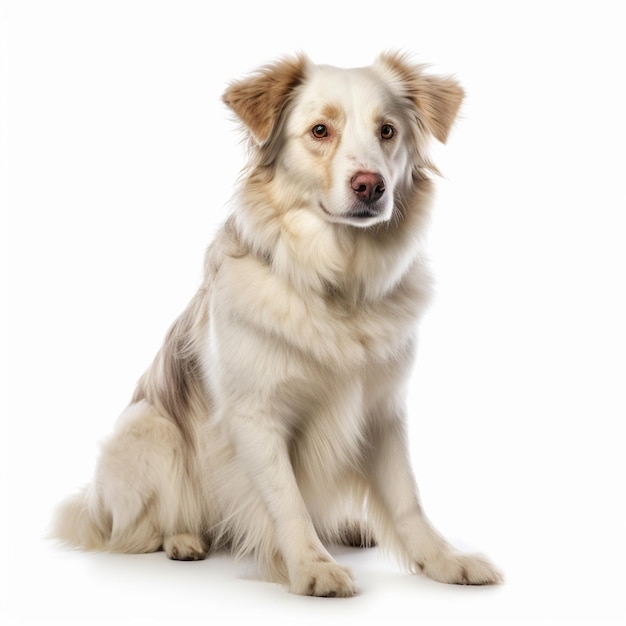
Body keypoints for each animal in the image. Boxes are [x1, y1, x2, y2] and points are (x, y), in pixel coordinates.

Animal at [53, 53, 502, 596]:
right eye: (320, 130)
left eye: (388, 131)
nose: (371, 185)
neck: (338, 282)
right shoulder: (255, 415)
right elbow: (287, 500)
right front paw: (311, 567)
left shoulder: (382, 410)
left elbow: (406, 499)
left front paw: (444, 561)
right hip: (148, 428)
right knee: (143, 528)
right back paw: (184, 540)